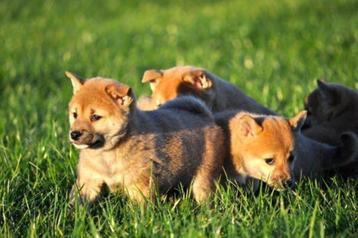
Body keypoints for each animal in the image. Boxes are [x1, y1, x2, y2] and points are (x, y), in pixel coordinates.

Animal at [65, 70, 224, 205]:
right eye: (75, 115)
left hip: (204, 177)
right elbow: (77, 204)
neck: (106, 156)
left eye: (95, 117)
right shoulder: (88, 181)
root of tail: (205, 115)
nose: (74, 134)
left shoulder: (139, 187)